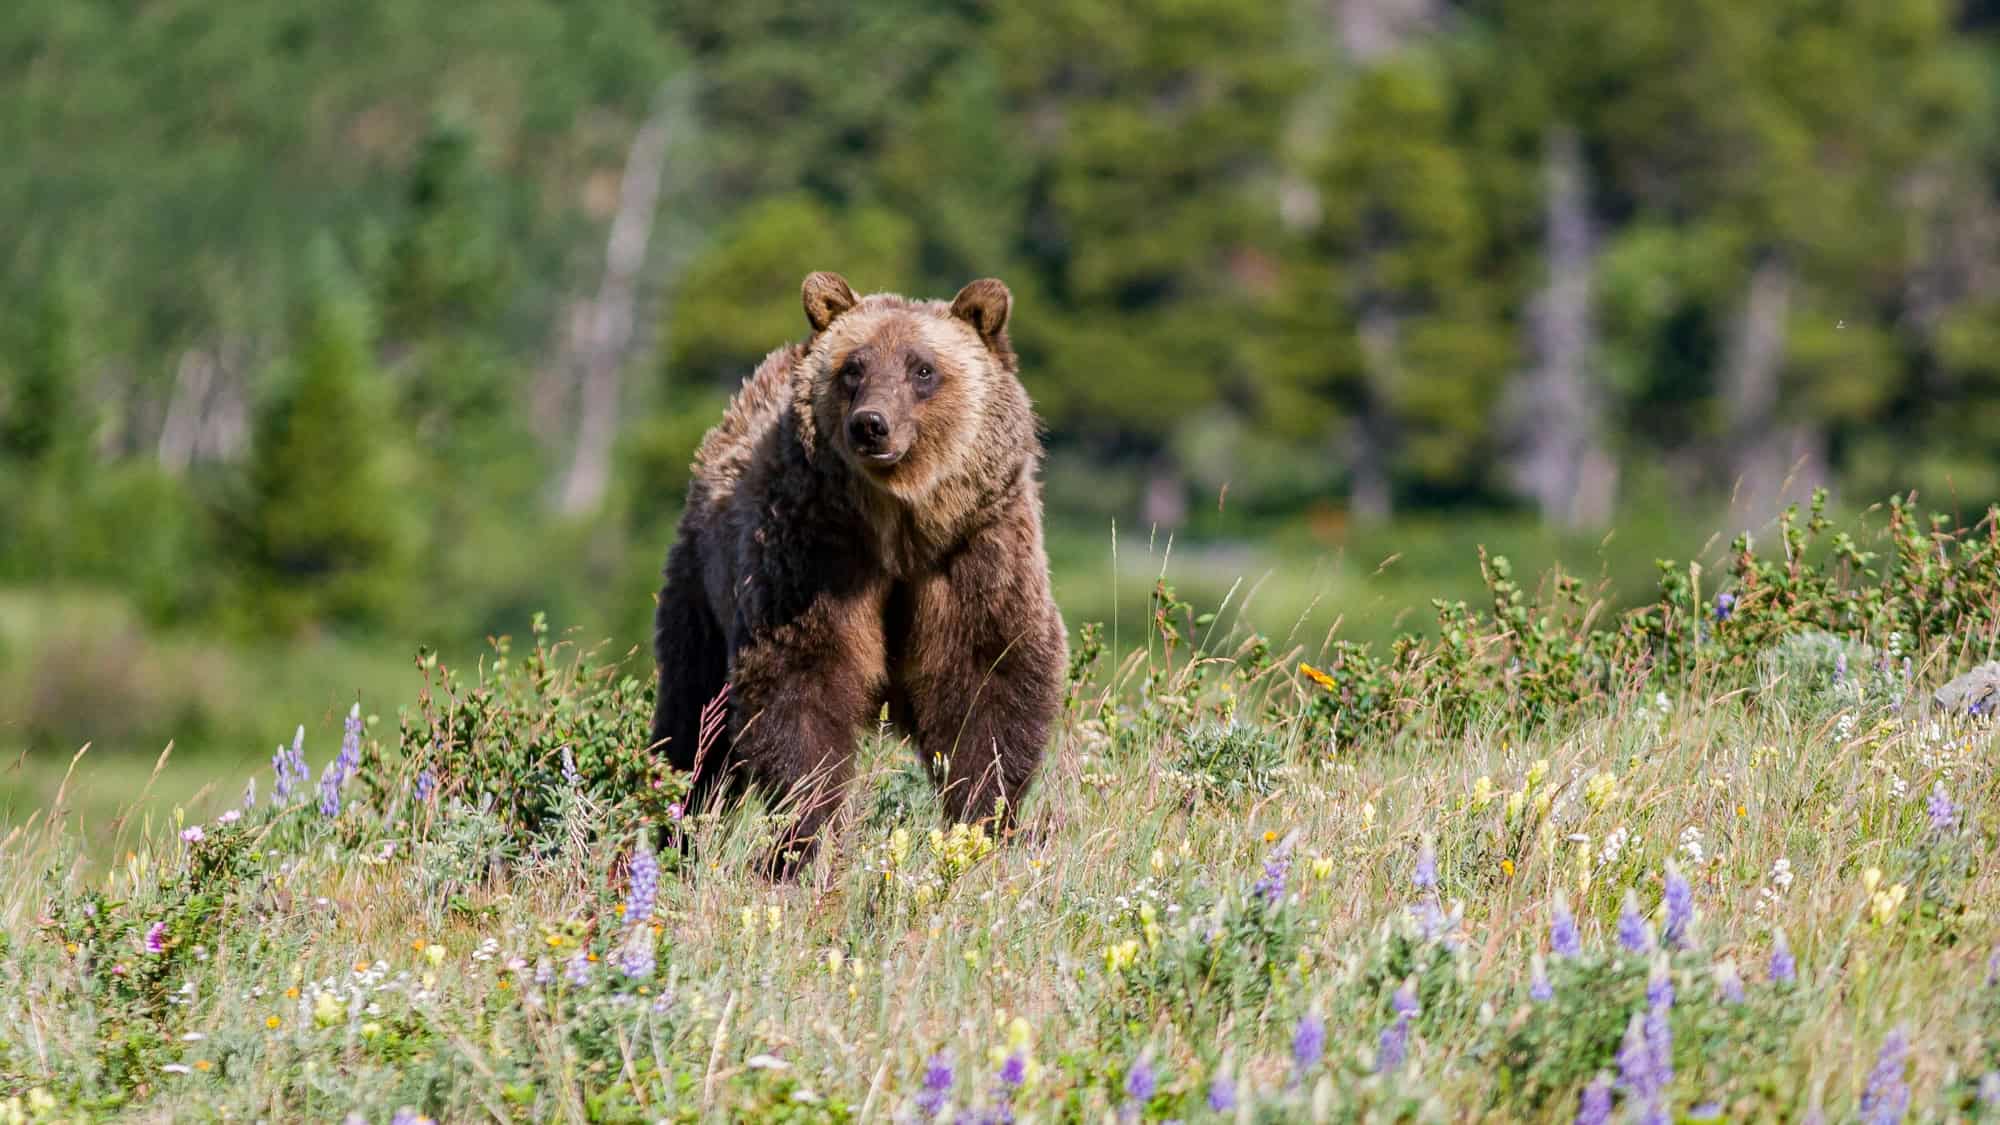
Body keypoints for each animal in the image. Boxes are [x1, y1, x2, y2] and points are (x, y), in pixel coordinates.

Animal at [649, 271, 1067, 874]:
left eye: (923, 369)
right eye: (854, 366)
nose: (871, 425)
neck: (900, 533)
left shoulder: (974, 554)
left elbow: (988, 678)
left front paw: (983, 821)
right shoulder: (815, 554)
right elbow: (802, 684)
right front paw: (803, 840)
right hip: (704, 584)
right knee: (694, 720)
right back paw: (673, 828)